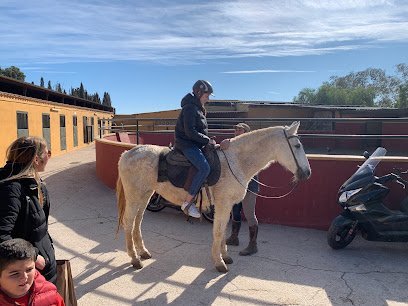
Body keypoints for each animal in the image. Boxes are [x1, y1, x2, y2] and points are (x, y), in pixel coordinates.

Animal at [116, 120, 310, 272]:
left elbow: (223, 229)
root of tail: (127, 153)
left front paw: (225, 256)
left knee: (138, 221)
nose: (307, 173)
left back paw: (142, 252)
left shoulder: (227, 206)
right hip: (134, 196)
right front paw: (219, 262)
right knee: (129, 221)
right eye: (297, 146)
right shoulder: (223, 204)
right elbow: (218, 231)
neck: (236, 161)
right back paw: (134, 259)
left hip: (145, 195)